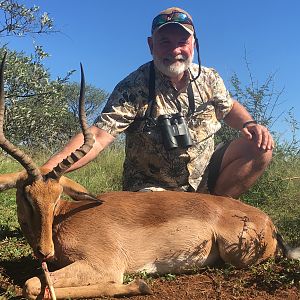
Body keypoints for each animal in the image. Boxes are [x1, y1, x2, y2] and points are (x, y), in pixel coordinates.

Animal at [0, 54, 298, 300]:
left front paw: (138, 284)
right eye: (26, 196)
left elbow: (33, 285)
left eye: (57, 197)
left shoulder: (103, 265)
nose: (45, 252)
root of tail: (269, 222)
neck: (65, 217)